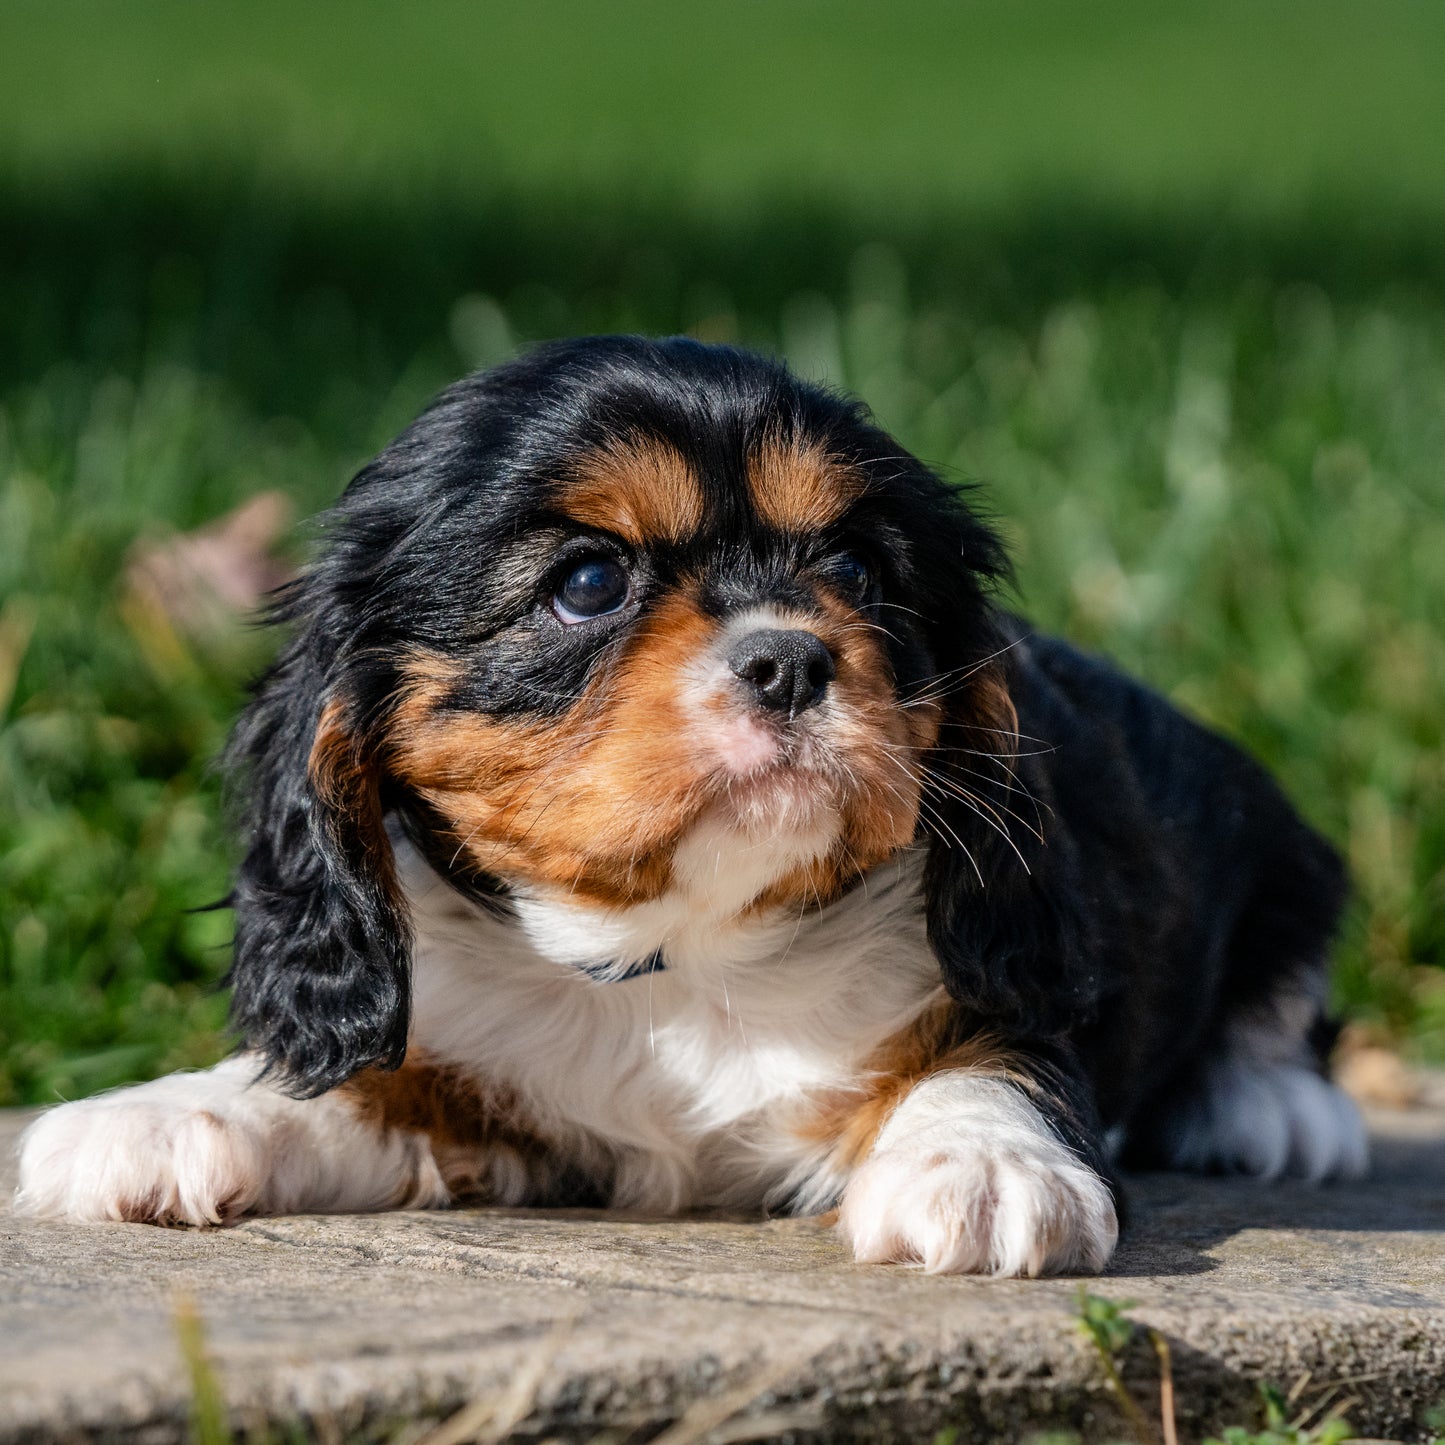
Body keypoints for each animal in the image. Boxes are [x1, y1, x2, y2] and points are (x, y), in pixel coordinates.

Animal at [14, 335, 1364, 1277]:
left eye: (857, 571)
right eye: (588, 581)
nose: (789, 659)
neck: (678, 952)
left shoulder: (995, 971)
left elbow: (992, 1054)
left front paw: (978, 1162)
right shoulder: (481, 1096)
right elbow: (363, 1085)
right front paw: (172, 1109)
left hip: (1278, 845)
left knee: (1281, 1002)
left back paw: (1274, 1105)